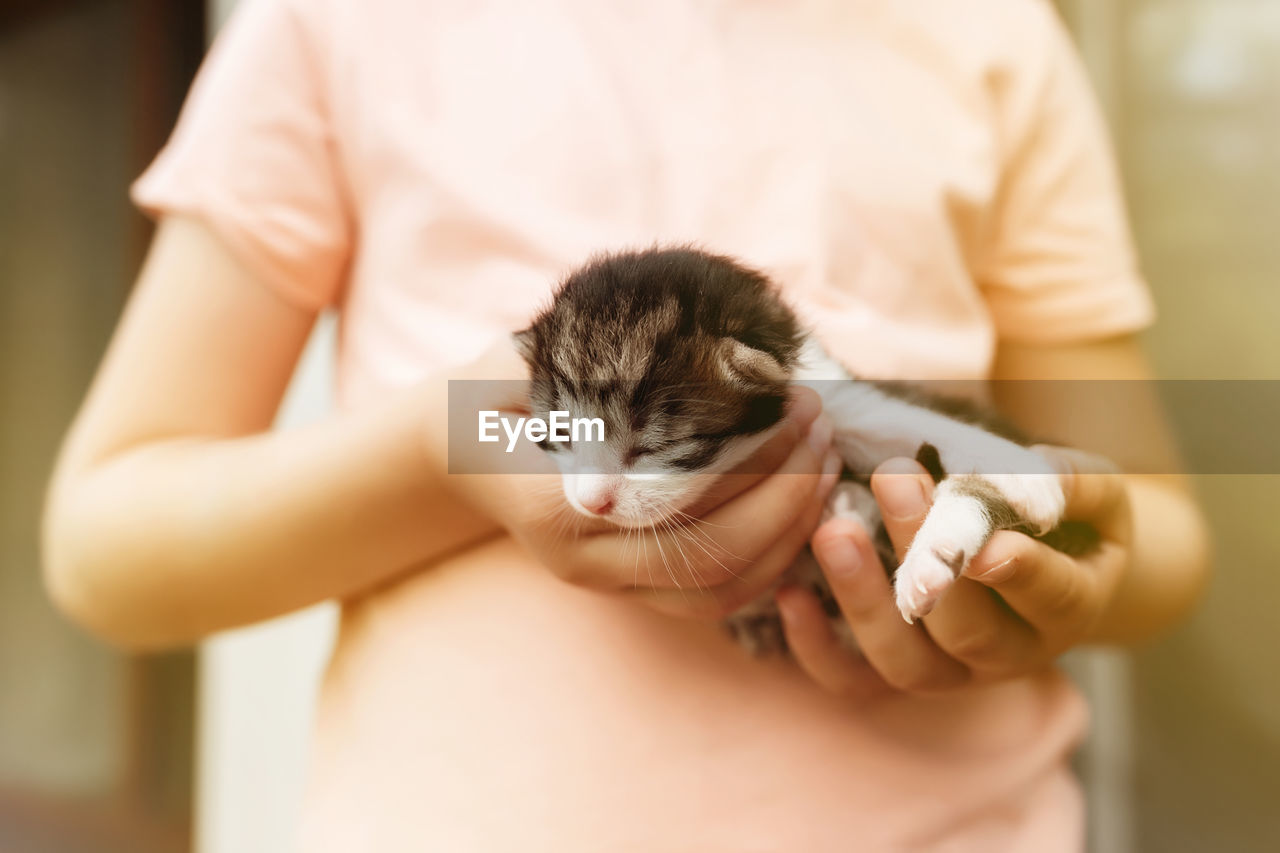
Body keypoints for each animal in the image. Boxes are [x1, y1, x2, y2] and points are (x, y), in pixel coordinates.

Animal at [514, 245, 1095, 650]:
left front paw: (1023, 473)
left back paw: (929, 557)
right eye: (560, 435)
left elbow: (904, 420)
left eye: (659, 445)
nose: (592, 504)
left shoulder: (836, 397)